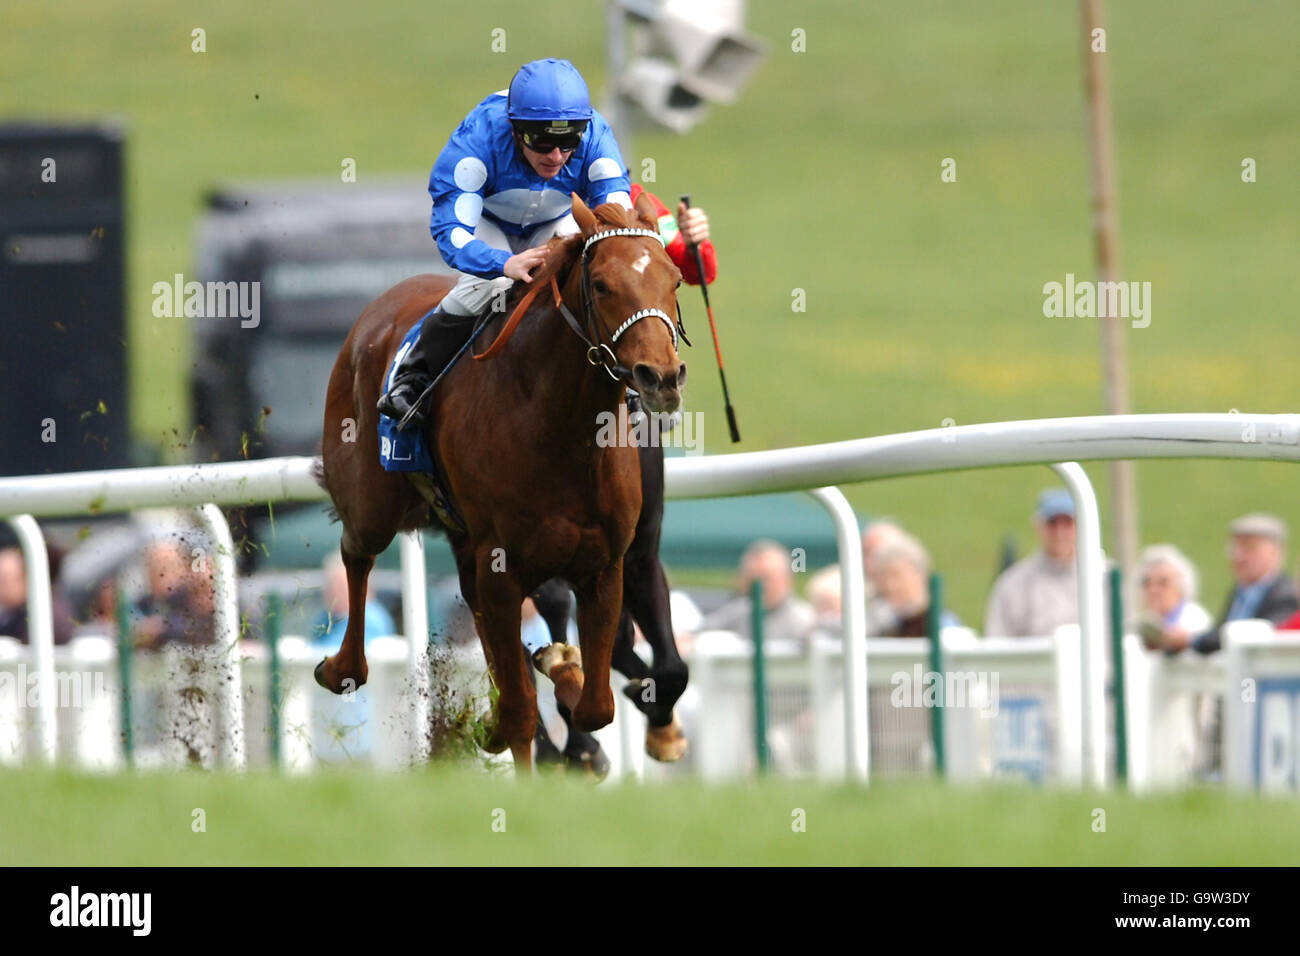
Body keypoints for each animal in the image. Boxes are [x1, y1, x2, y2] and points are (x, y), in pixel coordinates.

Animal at [313, 192, 687, 770]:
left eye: (674, 280)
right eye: (603, 285)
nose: (661, 378)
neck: (559, 426)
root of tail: (379, 308)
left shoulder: (609, 563)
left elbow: (597, 704)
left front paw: (568, 675)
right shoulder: (505, 565)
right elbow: (524, 707)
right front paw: (553, 688)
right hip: (372, 500)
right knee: (357, 551)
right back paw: (342, 667)